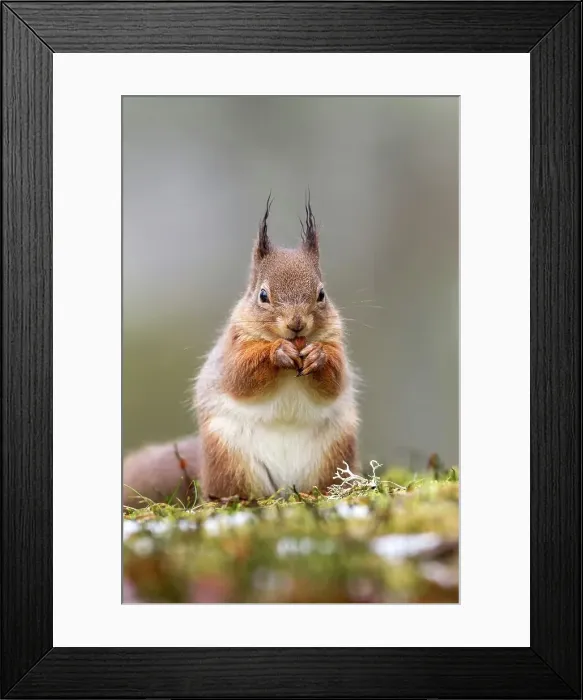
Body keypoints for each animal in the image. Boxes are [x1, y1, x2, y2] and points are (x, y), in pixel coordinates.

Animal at [123, 195, 360, 507]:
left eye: (321, 294)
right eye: (263, 295)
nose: (296, 324)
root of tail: (286, 490)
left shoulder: (336, 341)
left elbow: (334, 381)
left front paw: (318, 357)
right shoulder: (233, 348)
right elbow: (241, 376)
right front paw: (276, 353)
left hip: (335, 454)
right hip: (228, 458)